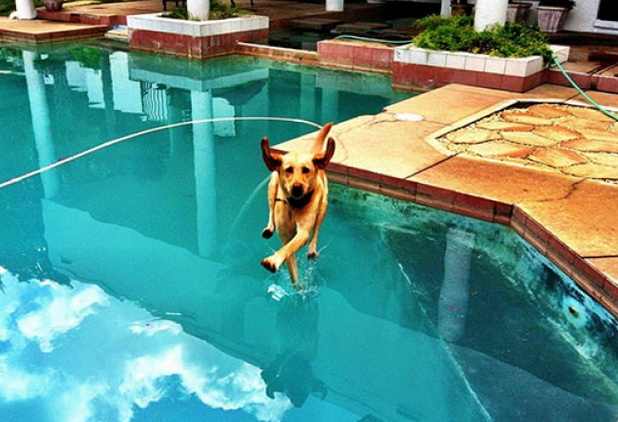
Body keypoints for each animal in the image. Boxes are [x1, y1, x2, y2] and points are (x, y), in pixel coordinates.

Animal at [260, 123, 336, 287]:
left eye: (306, 170)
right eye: (288, 170)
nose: (297, 186)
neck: (295, 205)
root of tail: (312, 153)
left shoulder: (302, 232)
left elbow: (291, 246)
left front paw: (274, 260)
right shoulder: (286, 236)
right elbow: (290, 258)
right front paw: (298, 288)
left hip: (324, 205)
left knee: (316, 230)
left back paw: (312, 248)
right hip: (272, 185)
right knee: (271, 209)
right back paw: (269, 228)